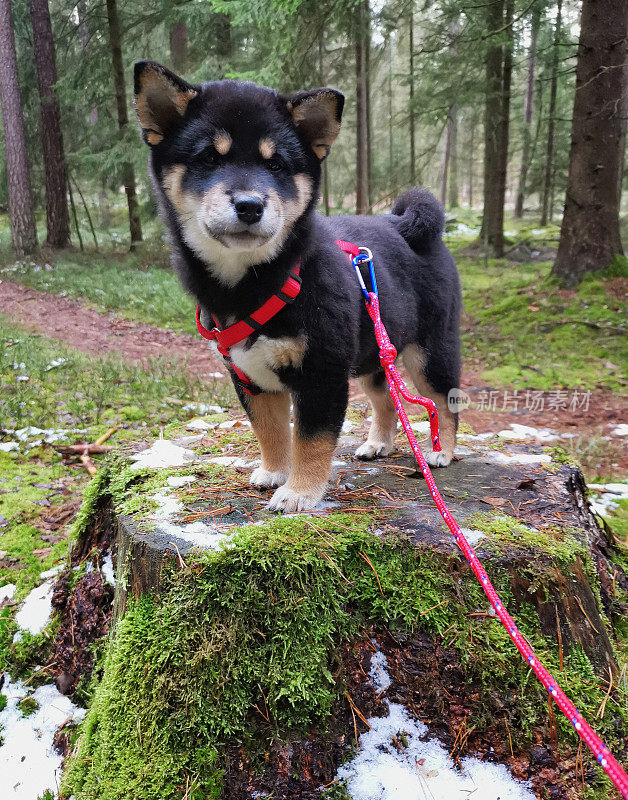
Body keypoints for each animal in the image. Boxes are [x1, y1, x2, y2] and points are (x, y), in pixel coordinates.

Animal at [134, 61, 462, 512]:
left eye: (276, 165)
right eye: (208, 157)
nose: (250, 205)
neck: (254, 283)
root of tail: (412, 226)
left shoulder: (320, 373)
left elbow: (312, 440)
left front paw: (300, 492)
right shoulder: (249, 378)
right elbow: (270, 432)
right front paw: (274, 472)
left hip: (430, 350)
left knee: (445, 402)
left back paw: (441, 452)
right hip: (374, 354)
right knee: (384, 400)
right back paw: (378, 444)